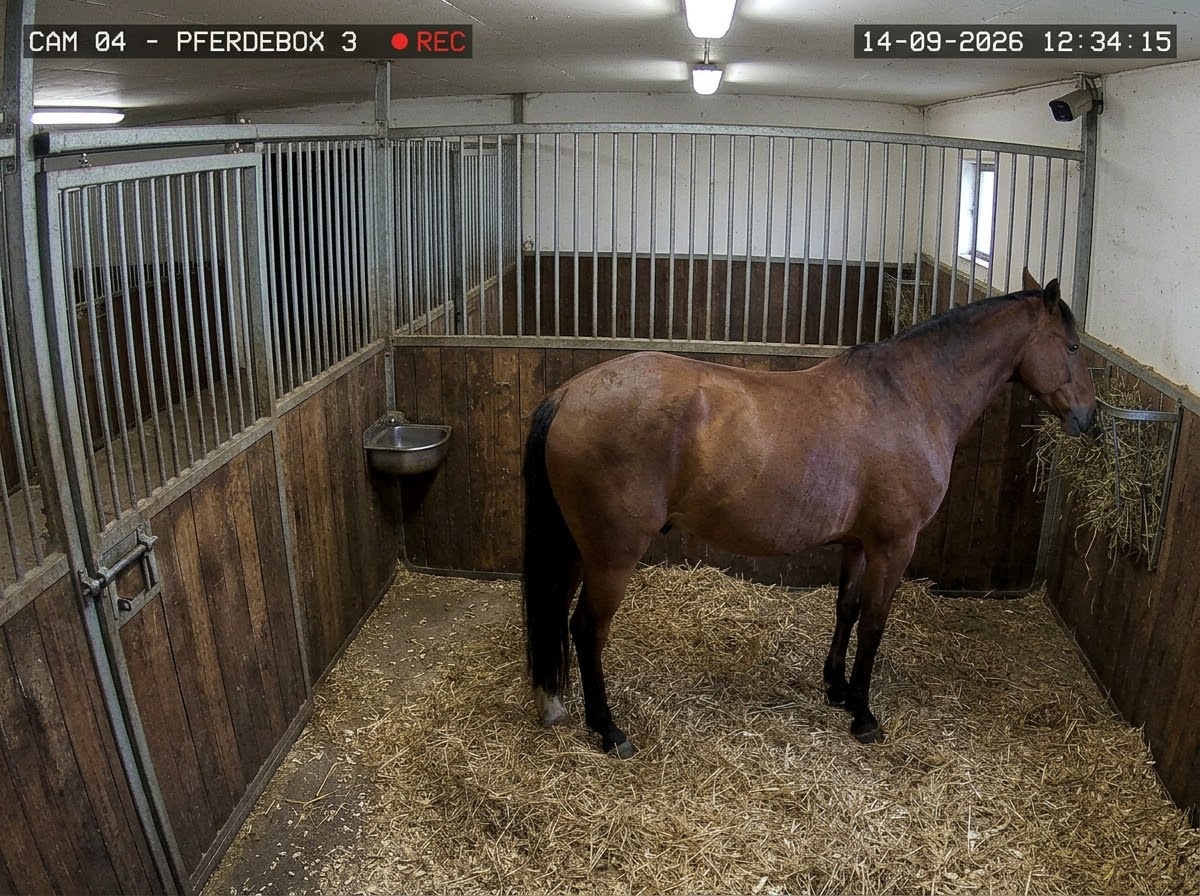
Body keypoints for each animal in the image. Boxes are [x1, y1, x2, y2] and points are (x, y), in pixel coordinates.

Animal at [521, 269, 1096, 758]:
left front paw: (836, 688)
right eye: (1071, 346)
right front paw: (864, 715)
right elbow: (875, 623)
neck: (910, 397)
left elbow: (847, 610)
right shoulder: (894, 545)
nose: (1088, 418)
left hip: (579, 549)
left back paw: (558, 701)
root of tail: (569, 393)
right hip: (613, 557)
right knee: (587, 628)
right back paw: (608, 729)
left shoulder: (859, 544)